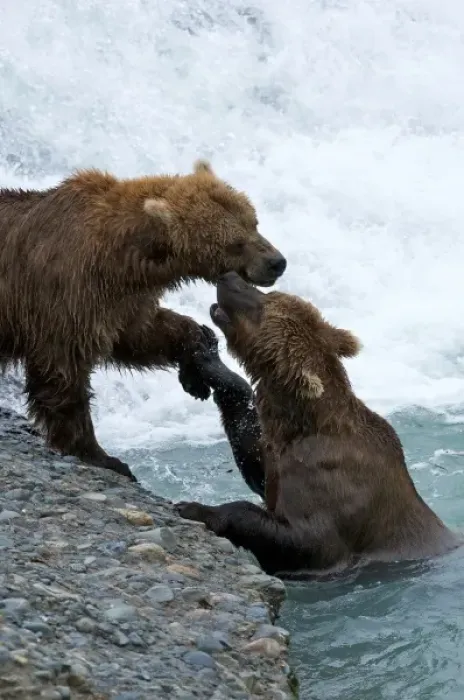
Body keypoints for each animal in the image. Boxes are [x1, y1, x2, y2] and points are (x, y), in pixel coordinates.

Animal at [0, 162, 286, 482]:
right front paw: (103, 456)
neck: (123, 258)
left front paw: (196, 365)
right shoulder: (68, 291)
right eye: (235, 243)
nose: (277, 262)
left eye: (254, 222)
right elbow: (63, 371)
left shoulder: (121, 300)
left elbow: (141, 334)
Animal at [176, 272, 460, 577]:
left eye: (262, 305)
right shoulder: (278, 453)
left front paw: (194, 508)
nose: (228, 277)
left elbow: (306, 542)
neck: (304, 424)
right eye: (270, 294)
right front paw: (206, 353)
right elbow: (255, 459)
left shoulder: (330, 482)